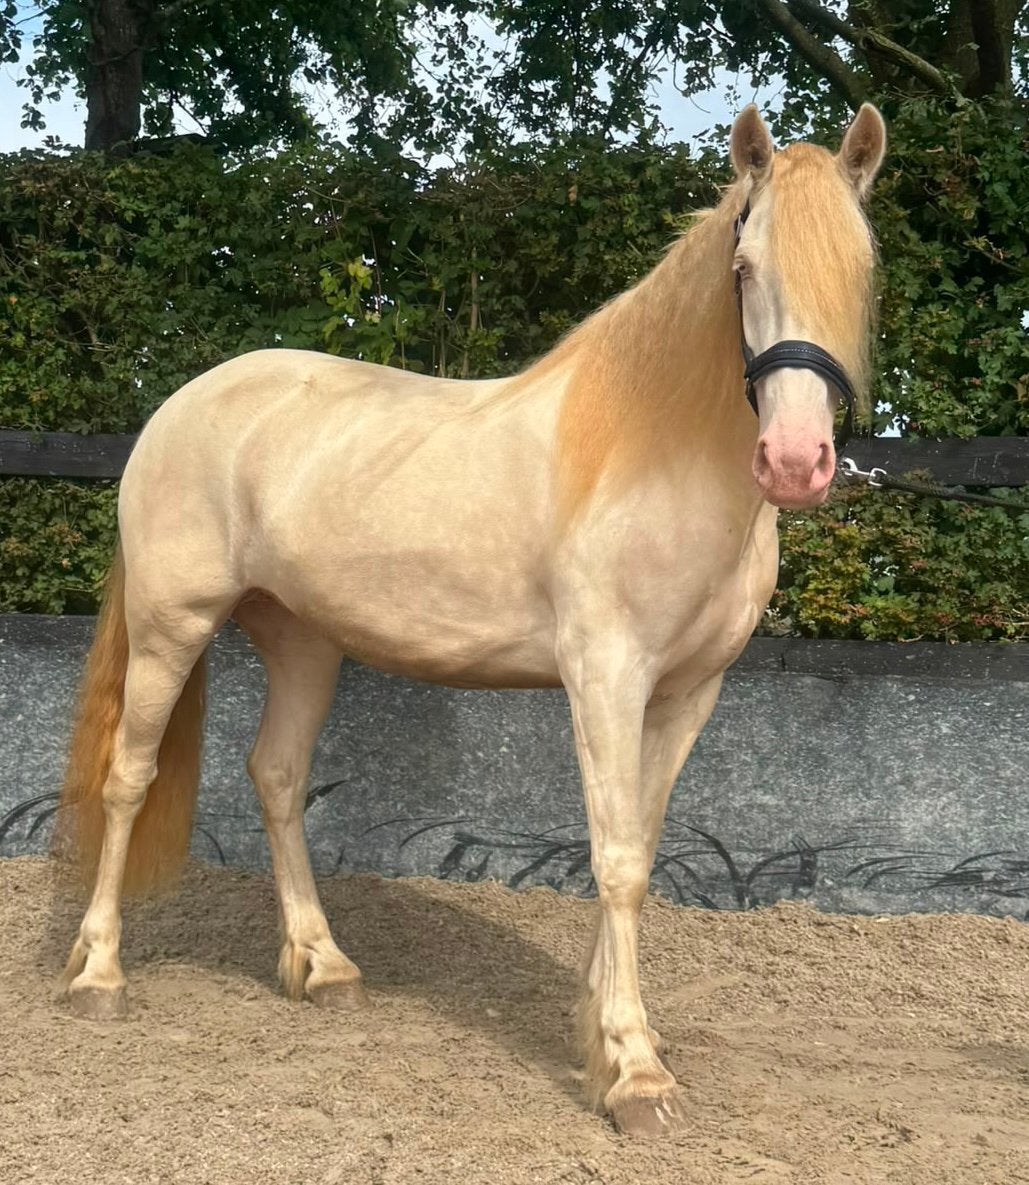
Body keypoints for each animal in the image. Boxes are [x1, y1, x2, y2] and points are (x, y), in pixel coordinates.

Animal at [55, 104, 885, 1137]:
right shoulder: (604, 677)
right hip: (173, 626)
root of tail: (180, 404)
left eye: (861, 271)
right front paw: (635, 1070)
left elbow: (643, 845)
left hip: (302, 641)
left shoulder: (688, 693)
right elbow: (615, 859)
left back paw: (323, 965)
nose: (795, 462)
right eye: (743, 269)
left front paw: (598, 1034)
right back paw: (98, 973)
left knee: (277, 776)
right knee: (129, 778)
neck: (651, 451)